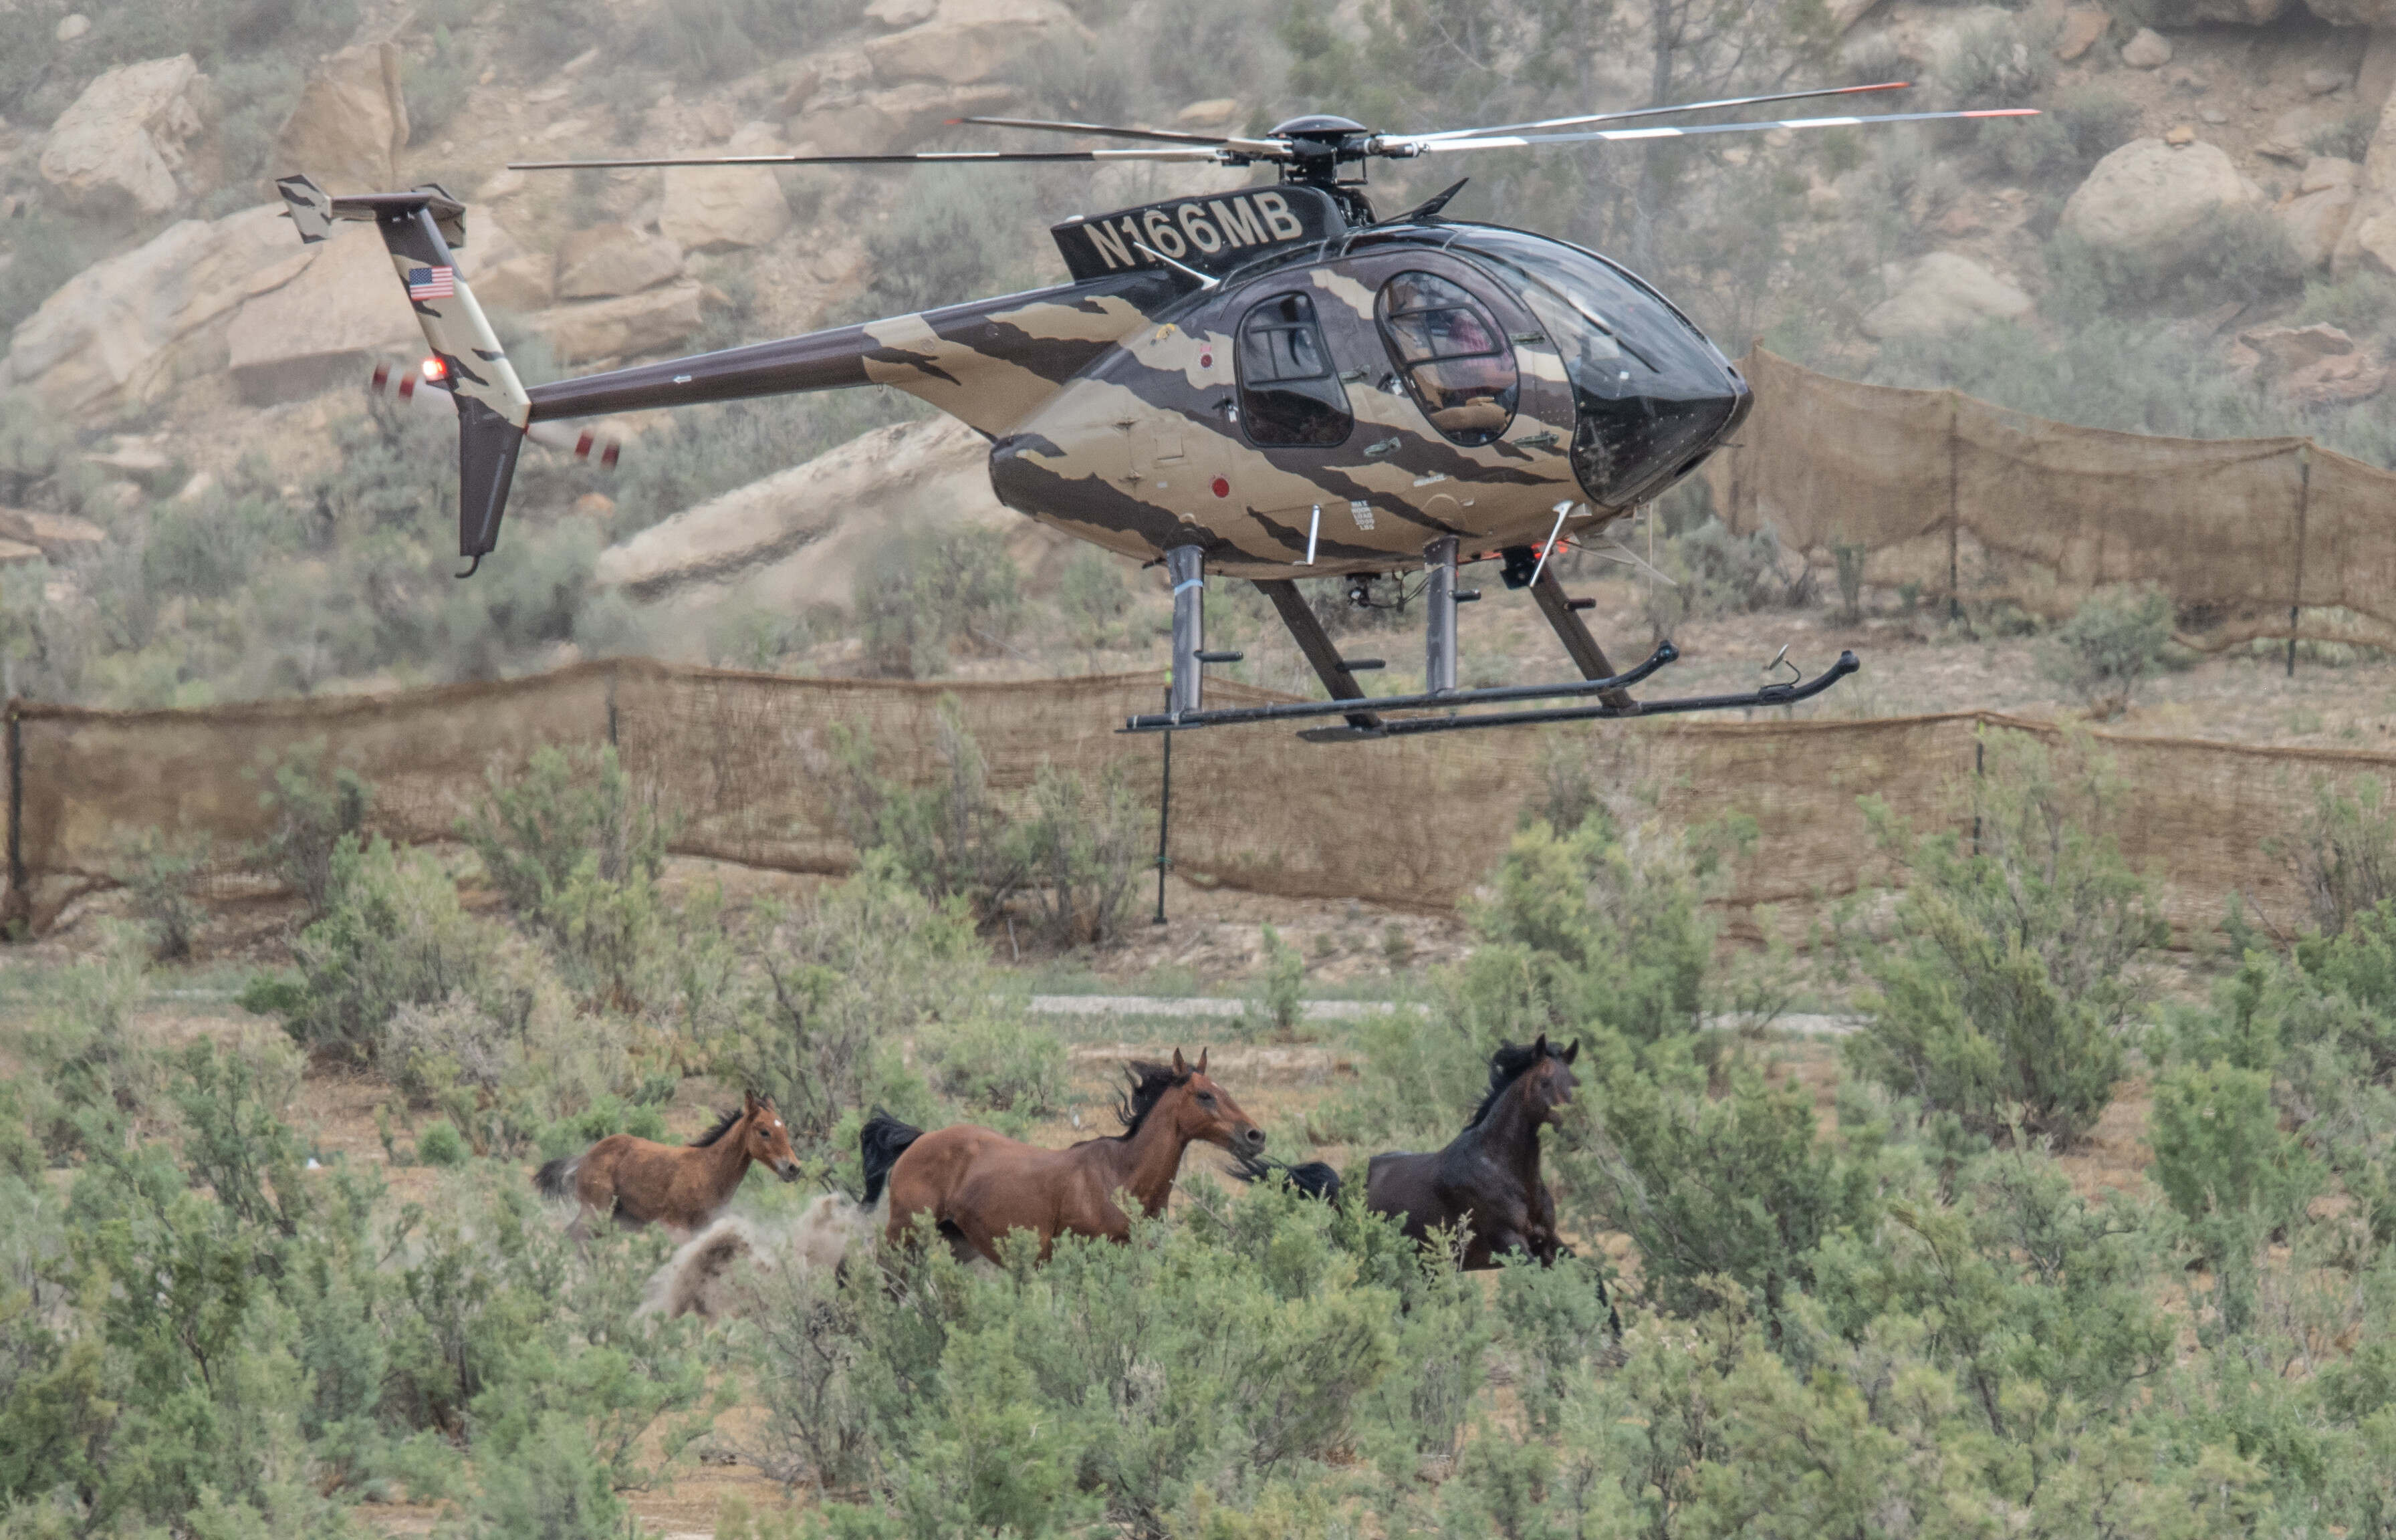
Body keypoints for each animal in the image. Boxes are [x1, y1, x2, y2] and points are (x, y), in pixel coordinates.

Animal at [534, 1089, 800, 1237]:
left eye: (784, 1129)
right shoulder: (676, 1228)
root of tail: (585, 1158)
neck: (707, 1170)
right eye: (764, 1132)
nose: (794, 1168)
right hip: (594, 1212)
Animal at [858, 1047, 1264, 1264]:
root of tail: (919, 1140)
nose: (1256, 1136)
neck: (1120, 1178)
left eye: (1225, 1090)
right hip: (903, 1236)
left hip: (957, 1243)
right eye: (1205, 1096)